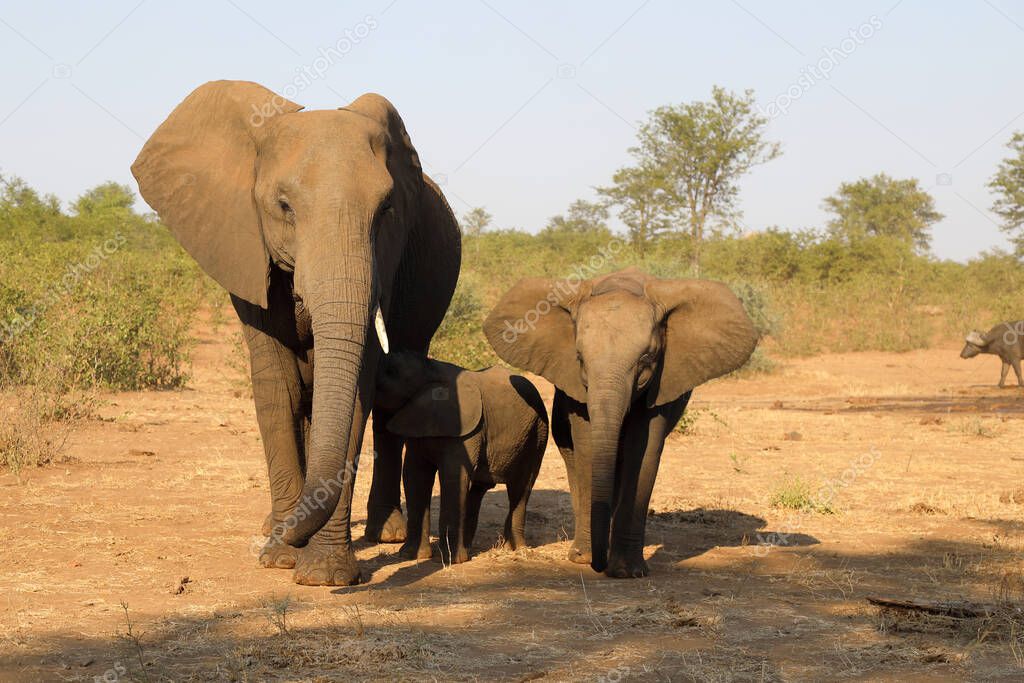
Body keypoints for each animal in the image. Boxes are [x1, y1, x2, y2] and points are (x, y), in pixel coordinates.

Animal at [132, 81, 460, 589]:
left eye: (387, 210)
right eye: (283, 207)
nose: (282, 537)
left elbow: (355, 391)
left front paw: (323, 574)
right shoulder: (245, 246)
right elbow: (278, 384)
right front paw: (282, 556)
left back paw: (385, 532)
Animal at [376, 350, 552, 565]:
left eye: (391, 371)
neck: (432, 368)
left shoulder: (465, 429)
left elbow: (453, 476)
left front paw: (451, 560)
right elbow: (414, 475)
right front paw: (411, 555)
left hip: (538, 433)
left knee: (521, 487)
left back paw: (513, 549)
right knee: (480, 488)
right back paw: (471, 548)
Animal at [483, 266, 757, 577]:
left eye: (647, 359)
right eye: (579, 358)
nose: (598, 565)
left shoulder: (662, 381)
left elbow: (644, 449)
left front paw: (627, 571)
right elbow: (589, 447)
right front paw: (585, 558)